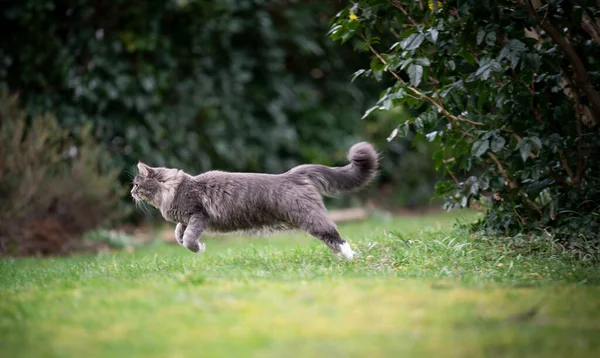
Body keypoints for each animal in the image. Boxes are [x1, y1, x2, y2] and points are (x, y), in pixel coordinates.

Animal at [130, 141, 380, 258]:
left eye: (136, 184)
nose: (131, 192)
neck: (173, 189)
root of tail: (292, 174)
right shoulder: (185, 218)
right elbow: (178, 234)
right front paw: (184, 241)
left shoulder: (199, 214)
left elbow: (190, 238)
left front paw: (198, 248)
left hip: (310, 218)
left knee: (335, 236)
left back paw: (350, 258)